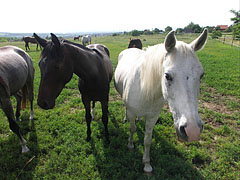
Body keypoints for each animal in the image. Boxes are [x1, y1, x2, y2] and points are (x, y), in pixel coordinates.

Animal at [114, 28, 208, 172]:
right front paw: (130, 145)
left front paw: (147, 164)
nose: (192, 131)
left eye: (201, 75)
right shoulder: (131, 112)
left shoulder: (153, 117)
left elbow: (147, 140)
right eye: (167, 76)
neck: (144, 89)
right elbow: (132, 128)